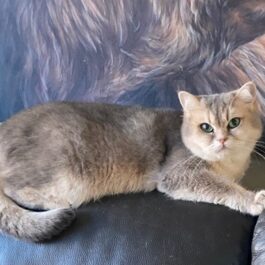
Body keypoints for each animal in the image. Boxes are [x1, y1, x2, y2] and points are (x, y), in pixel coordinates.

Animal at [0, 81, 262, 240]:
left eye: (234, 123)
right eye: (206, 127)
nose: (222, 139)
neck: (229, 164)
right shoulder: (178, 174)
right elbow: (223, 187)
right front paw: (254, 199)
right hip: (62, 169)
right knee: (13, 188)